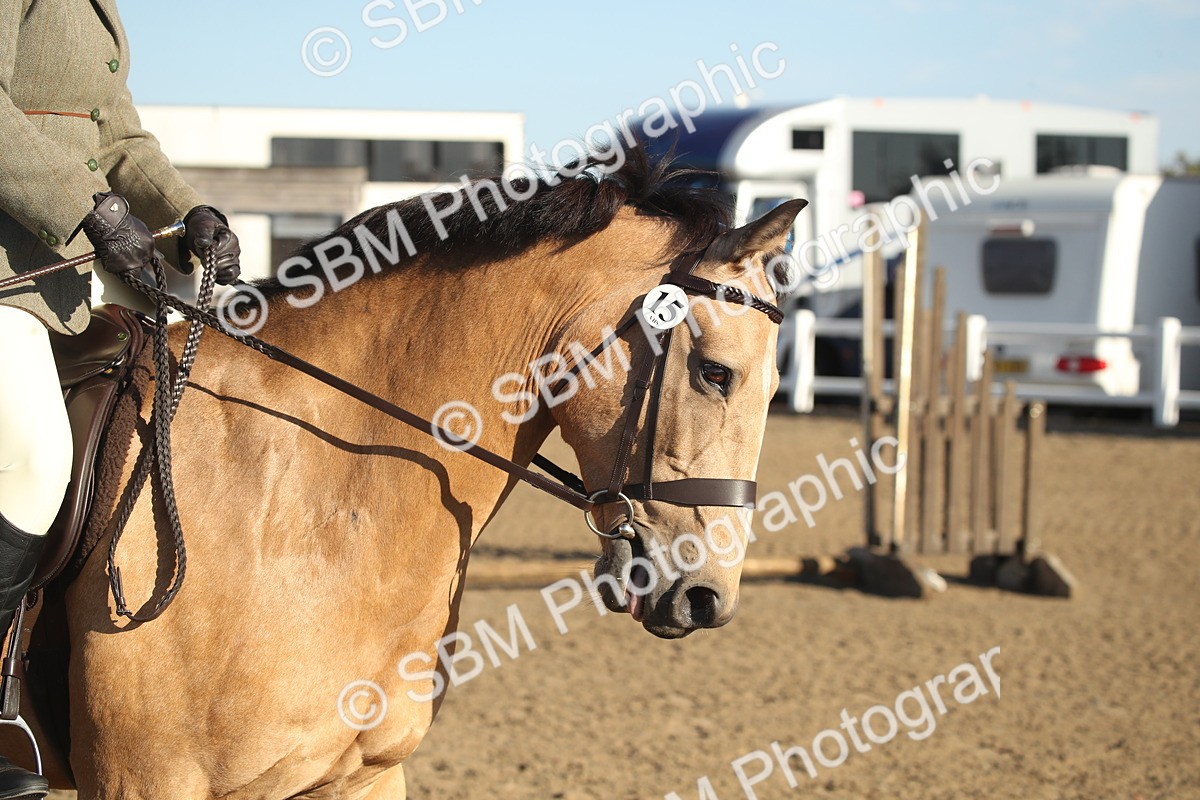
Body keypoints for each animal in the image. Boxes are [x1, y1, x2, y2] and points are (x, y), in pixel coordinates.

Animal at [27, 150, 805, 798]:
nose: (706, 598)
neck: (310, 509)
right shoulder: (148, 780)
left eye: (774, 388)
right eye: (715, 373)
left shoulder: (362, 774)